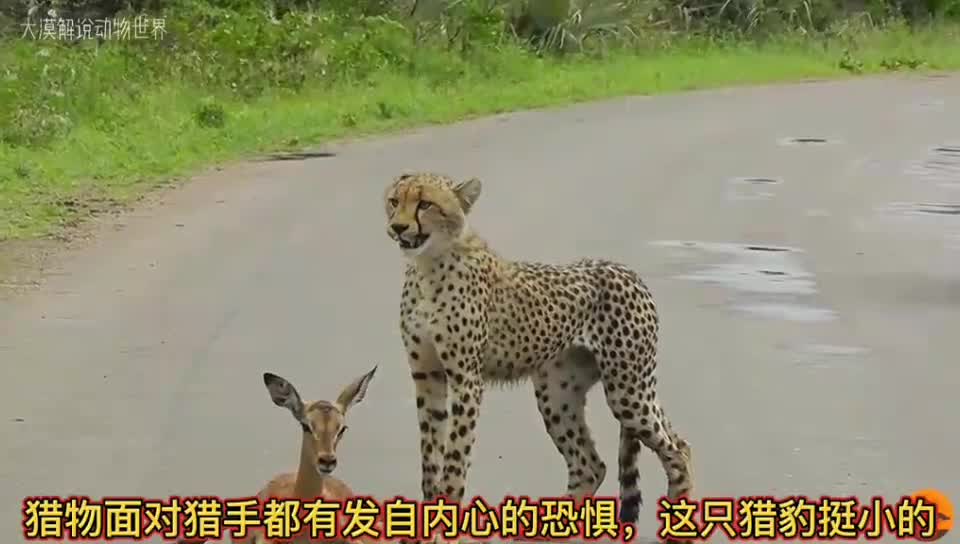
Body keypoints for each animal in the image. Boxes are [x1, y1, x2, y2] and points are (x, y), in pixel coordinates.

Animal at [380, 172, 688, 524]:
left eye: (425, 204)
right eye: (394, 201)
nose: (398, 227)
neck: (428, 266)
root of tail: (626, 269)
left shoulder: (465, 379)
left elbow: (456, 455)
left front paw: (448, 509)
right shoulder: (427, 375)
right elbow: (430, 453)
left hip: (627, 391)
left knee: (677, 450)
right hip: (561, 394)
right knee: (592, 465)